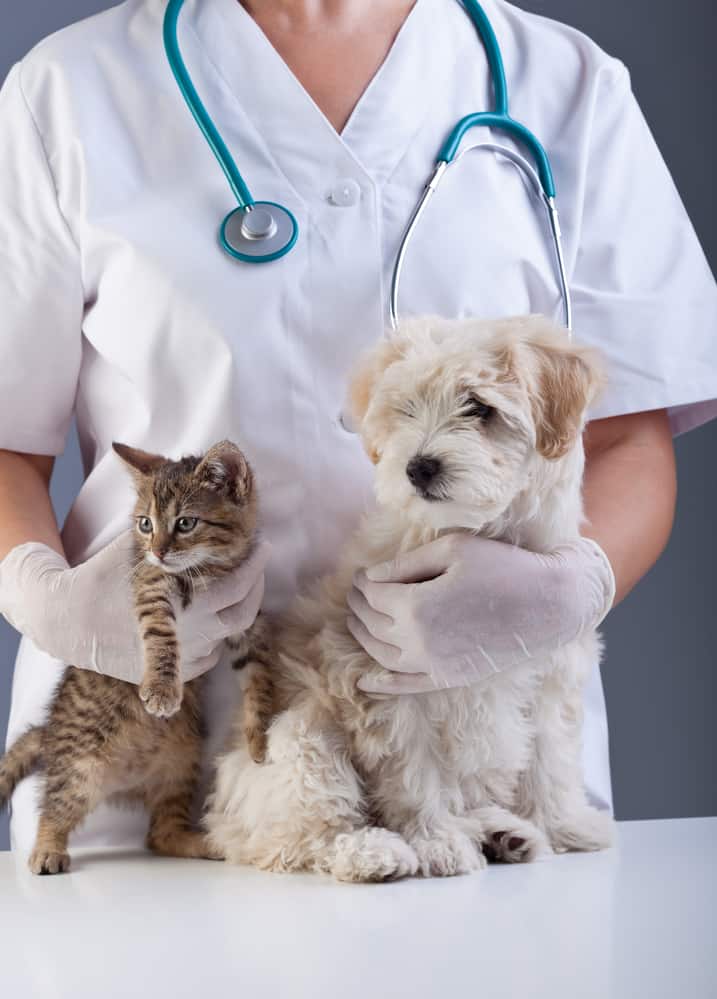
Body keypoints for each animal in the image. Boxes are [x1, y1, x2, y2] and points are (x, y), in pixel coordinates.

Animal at [0, 442, 272, 872]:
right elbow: (161, 636)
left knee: (159, 834)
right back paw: (46, 848)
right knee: (55, 805)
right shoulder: (150, 587)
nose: (157, 551)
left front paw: (259, 734)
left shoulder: (246, 621)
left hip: (181, 763)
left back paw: (204, 842)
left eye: (185, 523)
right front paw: (162, 688)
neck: (207, 571)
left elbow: (259, 674)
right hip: (79, 767)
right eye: (145, 524)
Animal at [204, 314, 612, 884]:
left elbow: (550, 760)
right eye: (407, 409)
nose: (419, 466)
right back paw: (372, 851)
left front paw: (564, 824)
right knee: (300, 832)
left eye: (479, 408)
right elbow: (415, 775)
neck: (473, 533)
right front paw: (436, 842)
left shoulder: (553, 674)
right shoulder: (385, 685)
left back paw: (505, 832)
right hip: (301, 737)